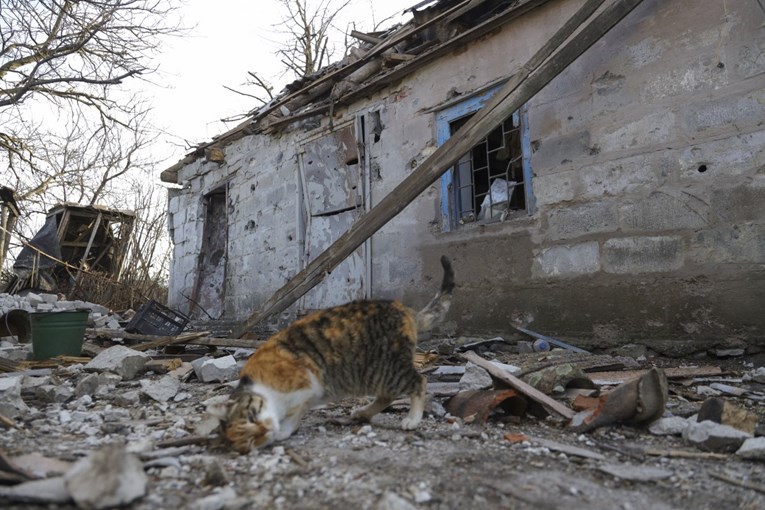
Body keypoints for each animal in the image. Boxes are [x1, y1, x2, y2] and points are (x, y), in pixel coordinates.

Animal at [213, 256, 454, 452]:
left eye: (252, 416)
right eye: (252, 441)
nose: (265, 430)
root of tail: (406, 310)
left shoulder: (307, 384)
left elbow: (295, 413)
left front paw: (284, 430)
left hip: (386, 368)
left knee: (419, 381)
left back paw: (412, 419)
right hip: (377, 373)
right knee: (388, 395)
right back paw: (363, 413)